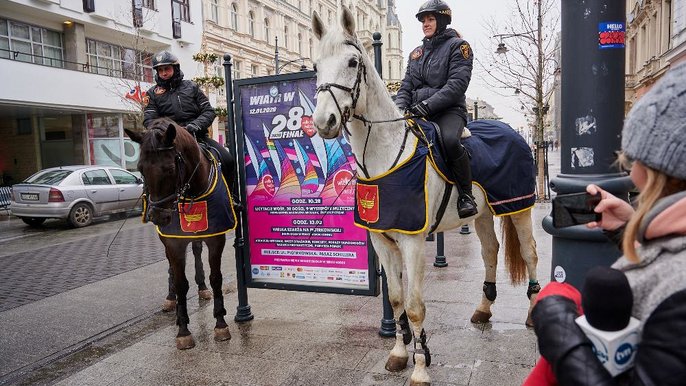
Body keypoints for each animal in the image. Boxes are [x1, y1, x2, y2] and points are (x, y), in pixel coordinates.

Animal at [127, 118, 235, 350]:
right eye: (140, 168)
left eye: (169, 168)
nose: (157, 216)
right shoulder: (173, 242)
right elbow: (180, 283)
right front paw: (183, 329)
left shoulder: (216, 237)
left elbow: (216, 278)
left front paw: (220, 323)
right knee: (171, 267)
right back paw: (171, 300)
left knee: (196, 251)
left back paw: (202, 288)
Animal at [314, 6, 544, 386]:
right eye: (316, 64)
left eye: (352, 61)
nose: (323, 122)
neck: (385, 156)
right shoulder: (381, 240)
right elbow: (395, 300)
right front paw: (398, 353)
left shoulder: (413, 242)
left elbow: (415, 306)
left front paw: (421, 366)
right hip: (482, 213)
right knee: (490, 251)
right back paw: (483, 308)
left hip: (518, 207)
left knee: (529, 254)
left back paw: (533, 311)